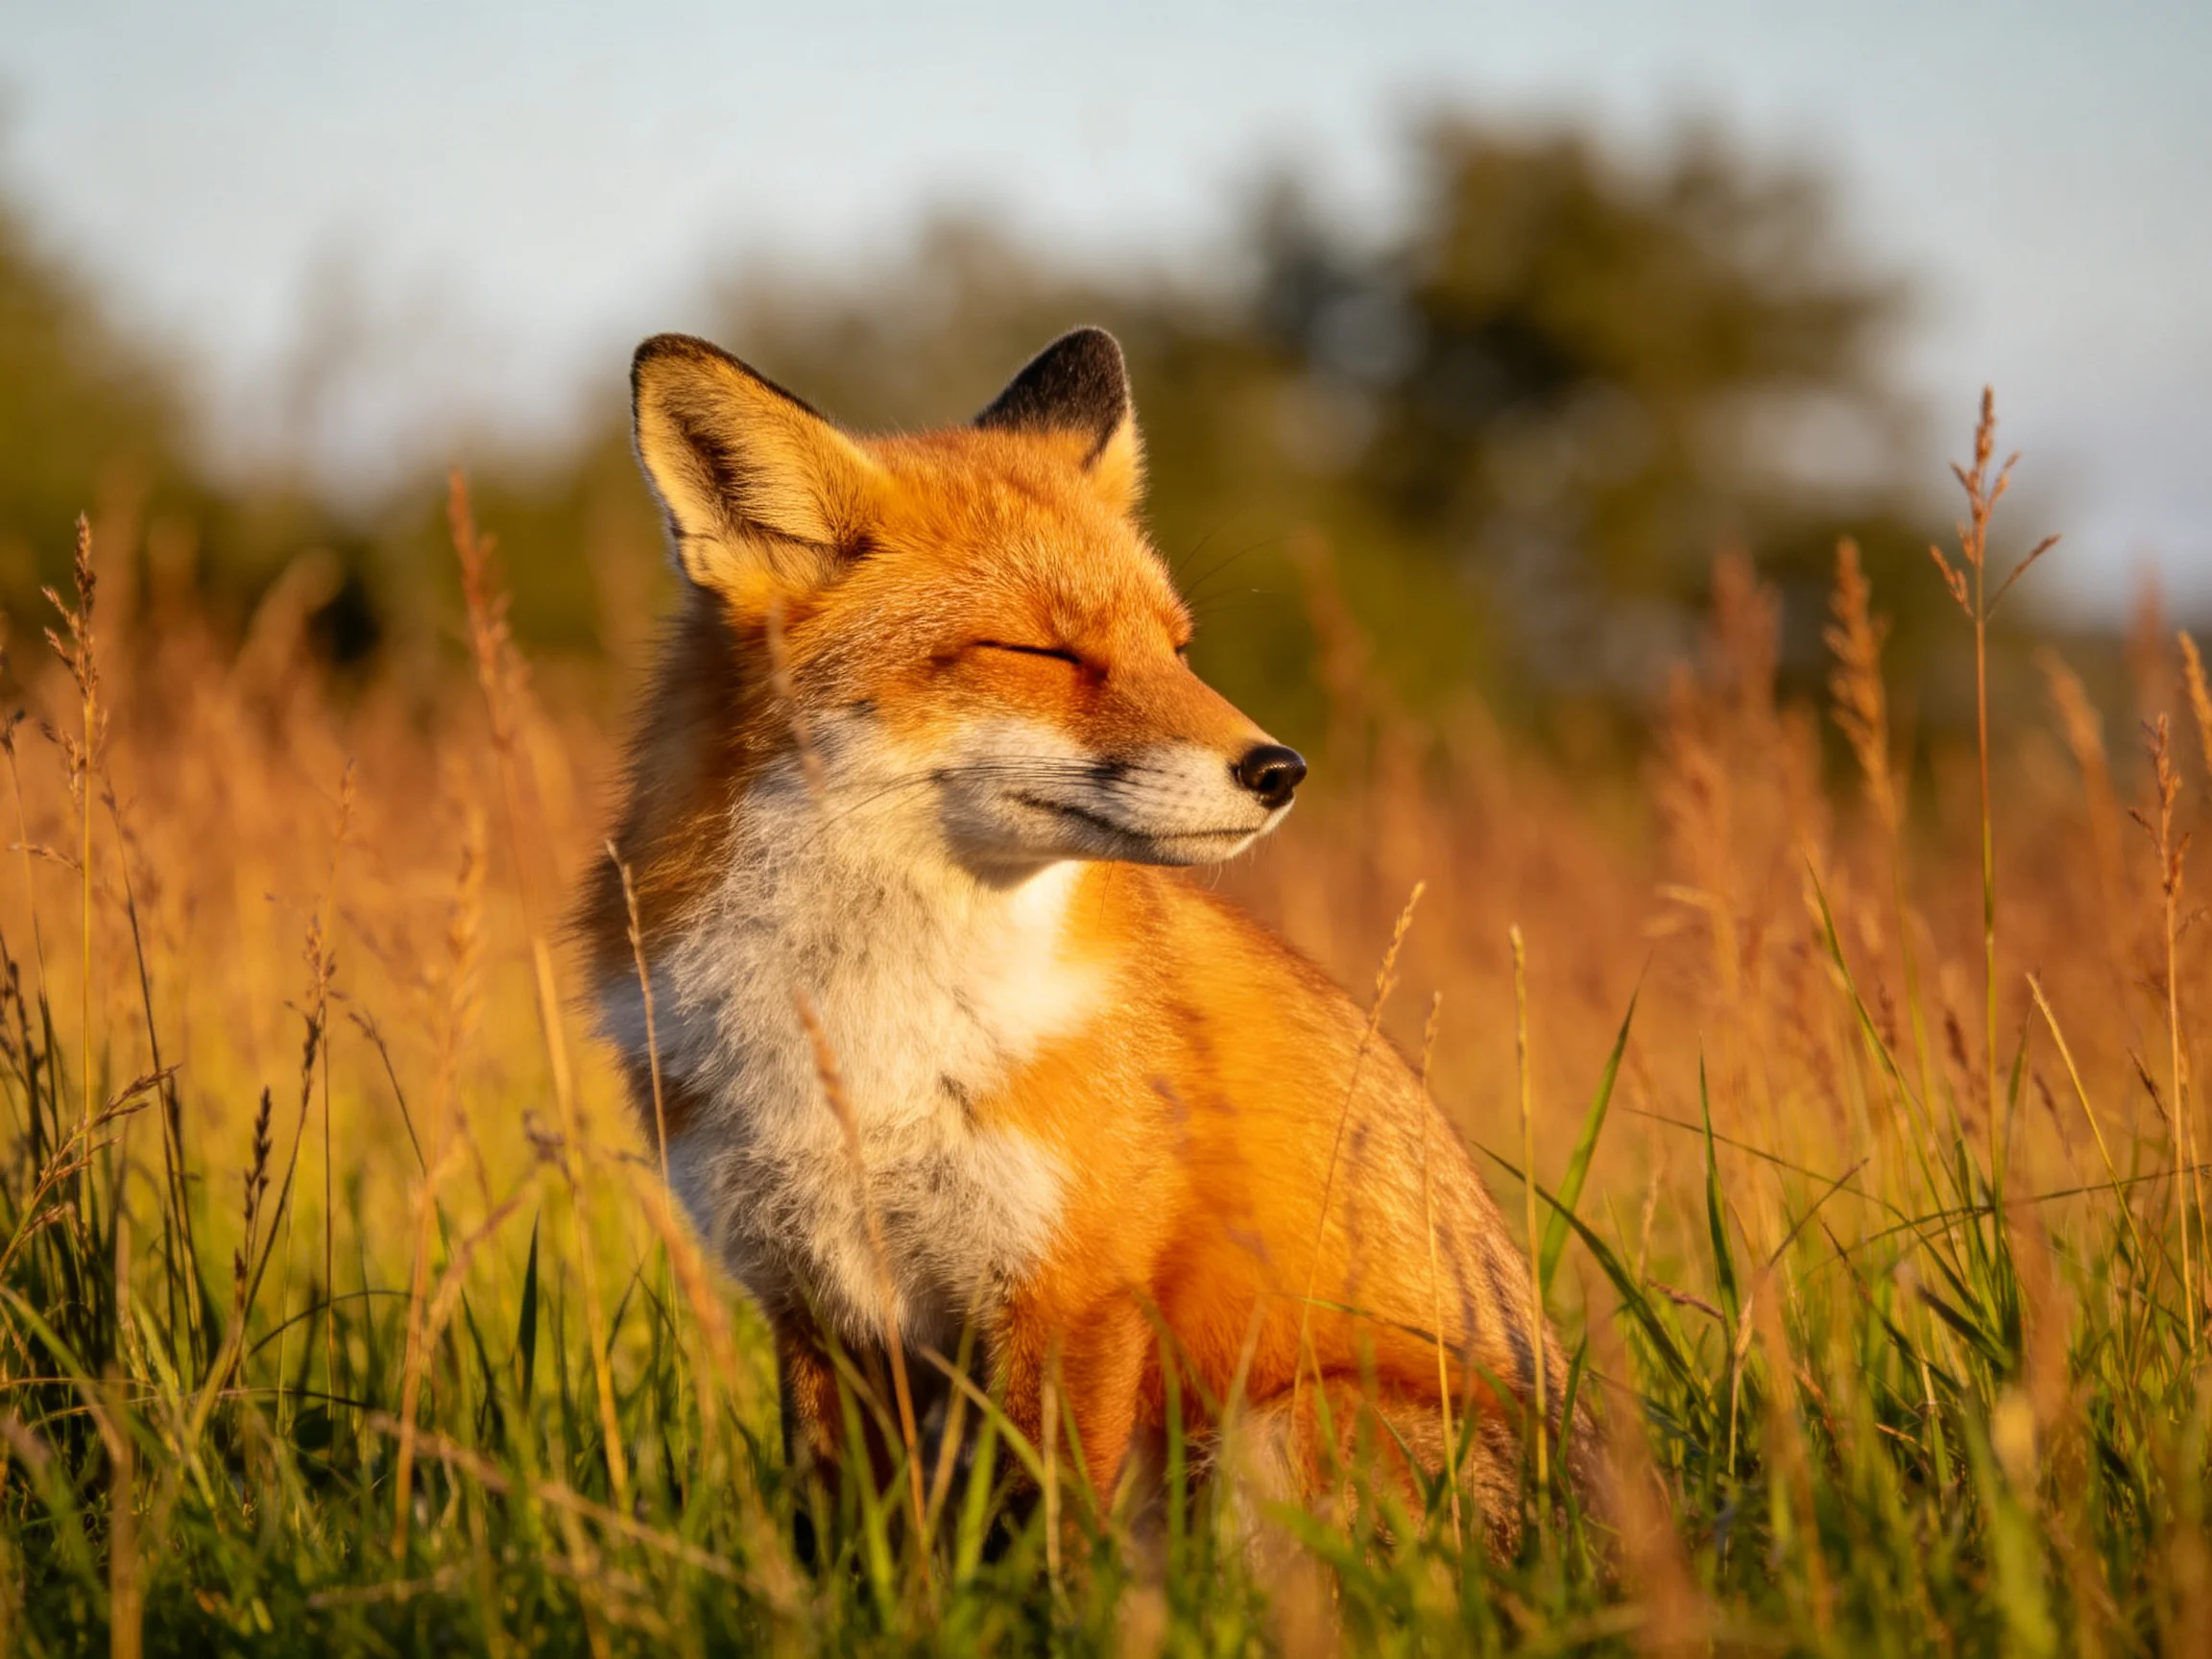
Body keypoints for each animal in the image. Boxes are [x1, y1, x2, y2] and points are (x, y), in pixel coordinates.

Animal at [580, 325, 1596, 1563]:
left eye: (1177, 648)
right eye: (1043, 651)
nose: (1280, 770)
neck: (867, 1022)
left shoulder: (1075, 1290)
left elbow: (1046, 1541)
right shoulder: (822, 1307)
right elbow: (855, 1548)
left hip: (1281, 1426)